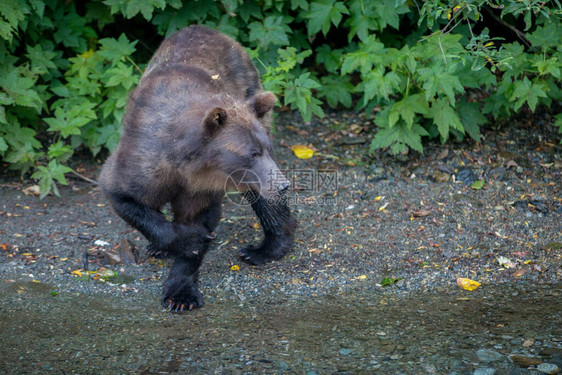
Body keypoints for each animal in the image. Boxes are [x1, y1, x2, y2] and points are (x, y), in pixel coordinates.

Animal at [98, 25, 296, 312]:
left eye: (266, 149)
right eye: (251, 153)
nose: (282, 184)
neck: (188, 164)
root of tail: (210, 30)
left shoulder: (201, 187)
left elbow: (197, 218)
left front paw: (181, 293)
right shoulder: (143, 163)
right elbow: (127, 197)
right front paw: (187, 242)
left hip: (251, 93)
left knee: (262, 198)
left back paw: (262, 249)